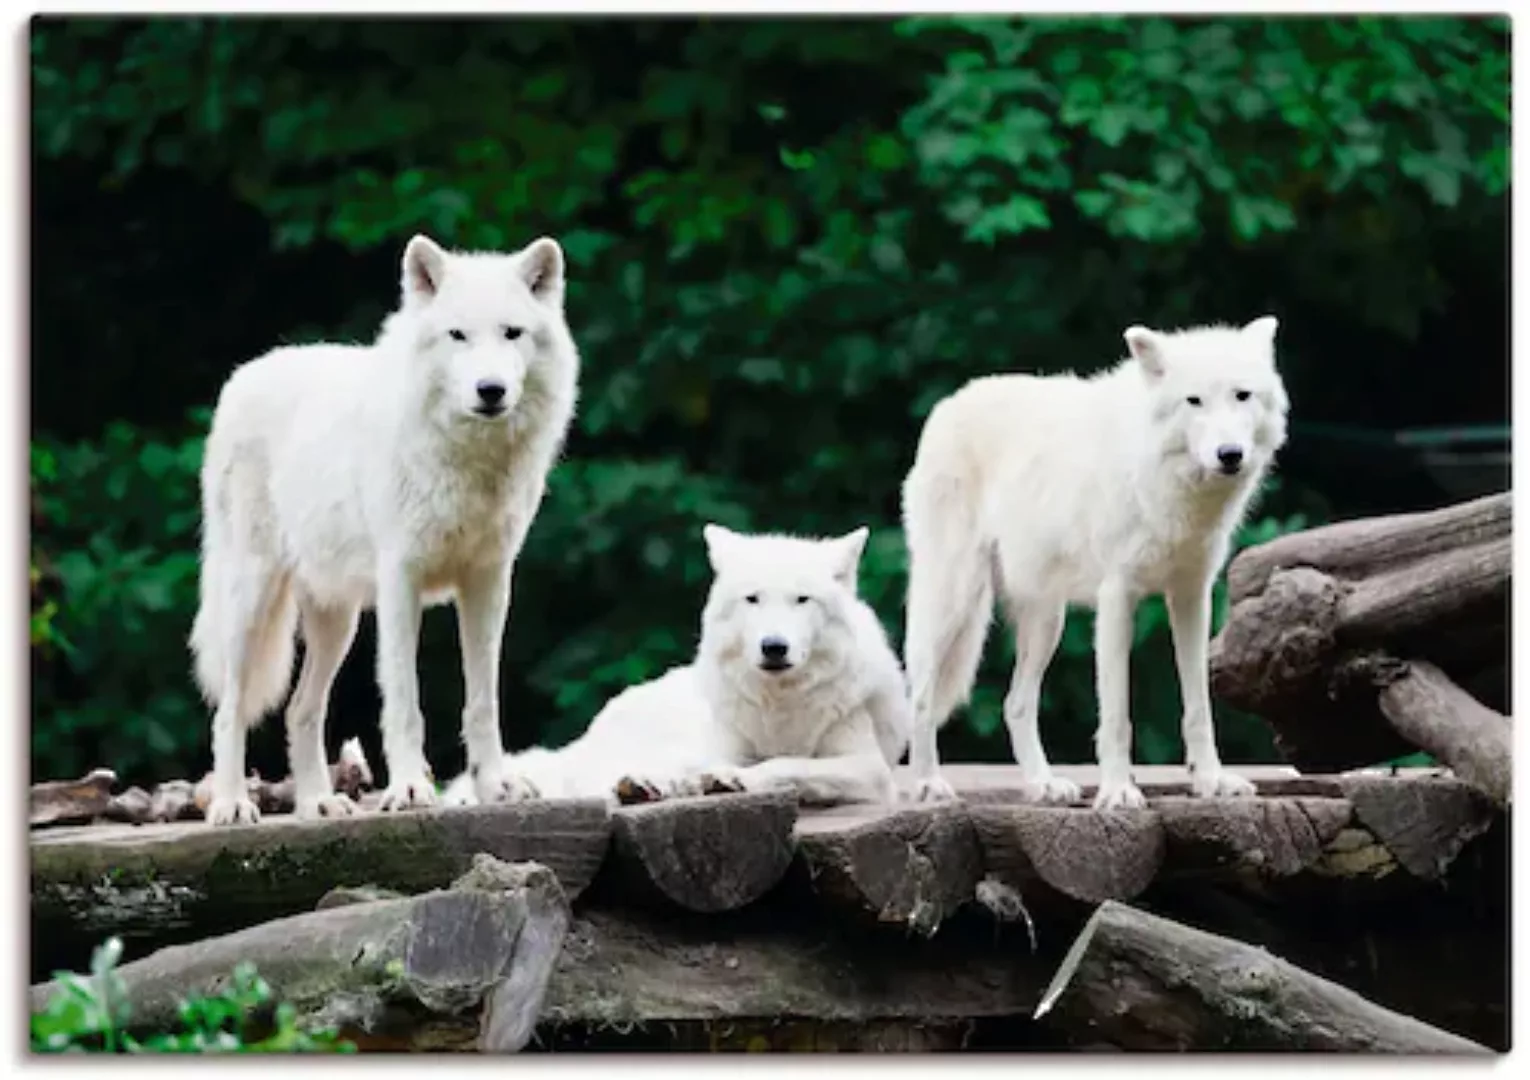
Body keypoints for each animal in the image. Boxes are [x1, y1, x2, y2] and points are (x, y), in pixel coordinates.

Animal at [186, 230, 578, 826]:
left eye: (512, 333)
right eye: (458, 335)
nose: (490, 390)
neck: (468, 460)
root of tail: (243, 376)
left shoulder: (489, 581)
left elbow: (482, 700)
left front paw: (496, 787)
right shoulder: (401, 581)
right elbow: (404, 699)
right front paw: (411, 789)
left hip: (336, 621)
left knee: (301, 710)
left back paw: (318, 803)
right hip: (251, 603)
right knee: (229, 711)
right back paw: (232, 804)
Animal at [440, 520, 905, 807]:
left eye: (802, 600)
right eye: (753, 599)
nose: (774, 647)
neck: (780, 708)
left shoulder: (868, 767)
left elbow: (788, 765)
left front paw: (735, 779)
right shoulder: (721, 745)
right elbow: (718, 763)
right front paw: (706, 778)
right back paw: (640, 785)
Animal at [905, 318, 1291, 807]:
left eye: (1242, 395)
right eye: (1194, 401)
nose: (1230, 454)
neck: (1166, 483)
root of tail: (950, 403)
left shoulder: (1192, 596)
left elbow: (1198, 708)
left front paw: (1211, 781)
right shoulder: (1117, 598)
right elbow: (1116, 717)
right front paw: (1118, 792)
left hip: (1046, 621)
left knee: (1016, 704)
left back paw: (1044, 785)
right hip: (956, 602)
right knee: (919, 697)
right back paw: (926, 784)